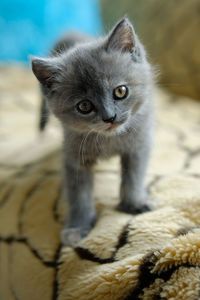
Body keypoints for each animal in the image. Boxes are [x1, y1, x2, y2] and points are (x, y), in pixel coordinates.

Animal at [30, 17, 155, 246]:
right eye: (84, 106)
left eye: (120, 91)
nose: (110, 117)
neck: (108, 140)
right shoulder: (74, 157)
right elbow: (79, 195)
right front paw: (78, 227)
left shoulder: (138, 145)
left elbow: (134, 176)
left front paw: (134, 203)